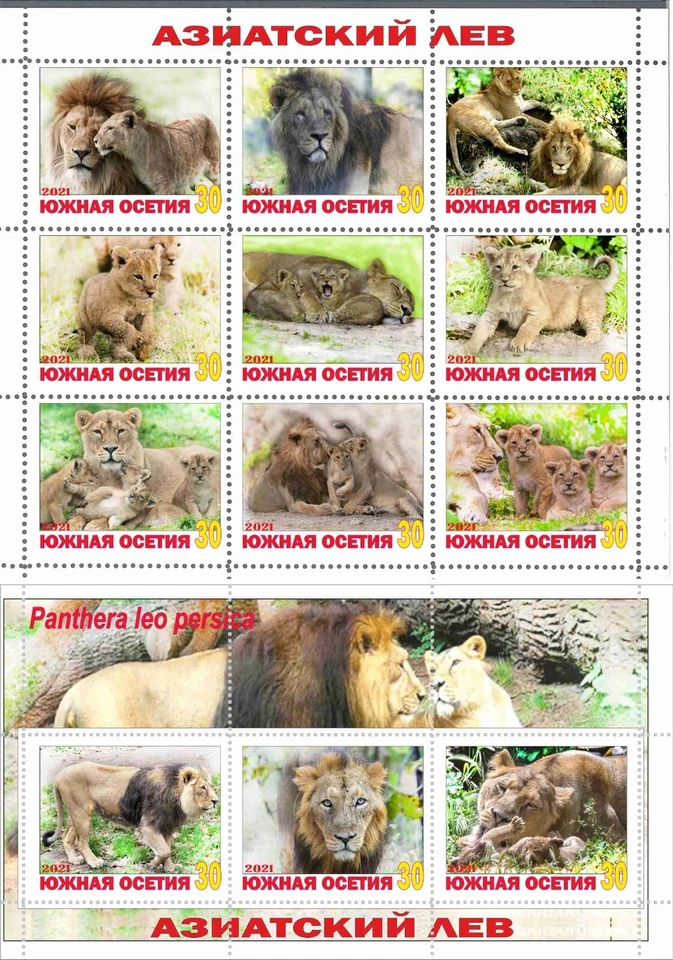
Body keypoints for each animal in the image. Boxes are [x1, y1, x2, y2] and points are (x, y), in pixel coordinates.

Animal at [42, 761, 218, 871]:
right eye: (202, 788)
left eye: (211, 786)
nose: (216, 801)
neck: (176, 796)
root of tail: (59, 775)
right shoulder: (148, 826)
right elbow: (164, 851)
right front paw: (153, 864)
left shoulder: (167, 826)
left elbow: (167, 849)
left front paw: (171, 868)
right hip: (81, 812)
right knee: (81, 841)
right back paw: (94, 862)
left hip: (76, 812)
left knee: (65, 836)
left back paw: (74, 859)